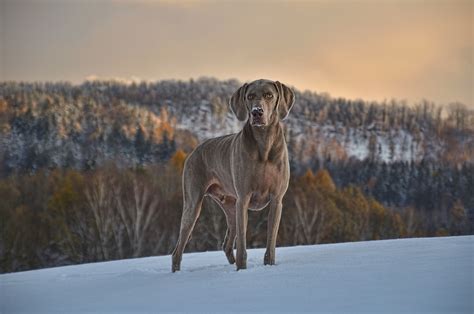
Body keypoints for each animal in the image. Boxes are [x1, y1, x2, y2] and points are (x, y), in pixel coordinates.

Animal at [172, 79, 294, 272]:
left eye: (269, 95)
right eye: (250, 96)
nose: (256, 112)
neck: (264, 143)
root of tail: (194, 151)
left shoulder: (277, 200)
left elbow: (271, 243)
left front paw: (269, 265)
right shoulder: (244, 199)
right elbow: (243, 245)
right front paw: (242, 269)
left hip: (231, 207)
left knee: (227, 245)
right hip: (194, 204)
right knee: (178, 250)